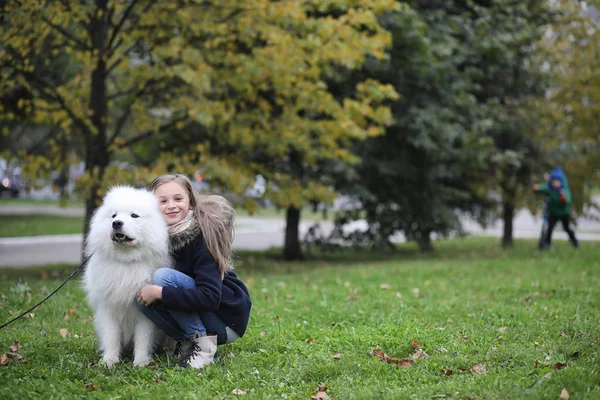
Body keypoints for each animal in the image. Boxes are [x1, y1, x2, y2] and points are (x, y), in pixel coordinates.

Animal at [82, 186, 171, 368]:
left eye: (134, 216)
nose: (116, 223)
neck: (127, 262)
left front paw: (141, 362)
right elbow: (111, 336)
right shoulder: (108, 307)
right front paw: (109, 361)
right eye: (114, 215)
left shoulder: (144, 311)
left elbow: (143, 338)